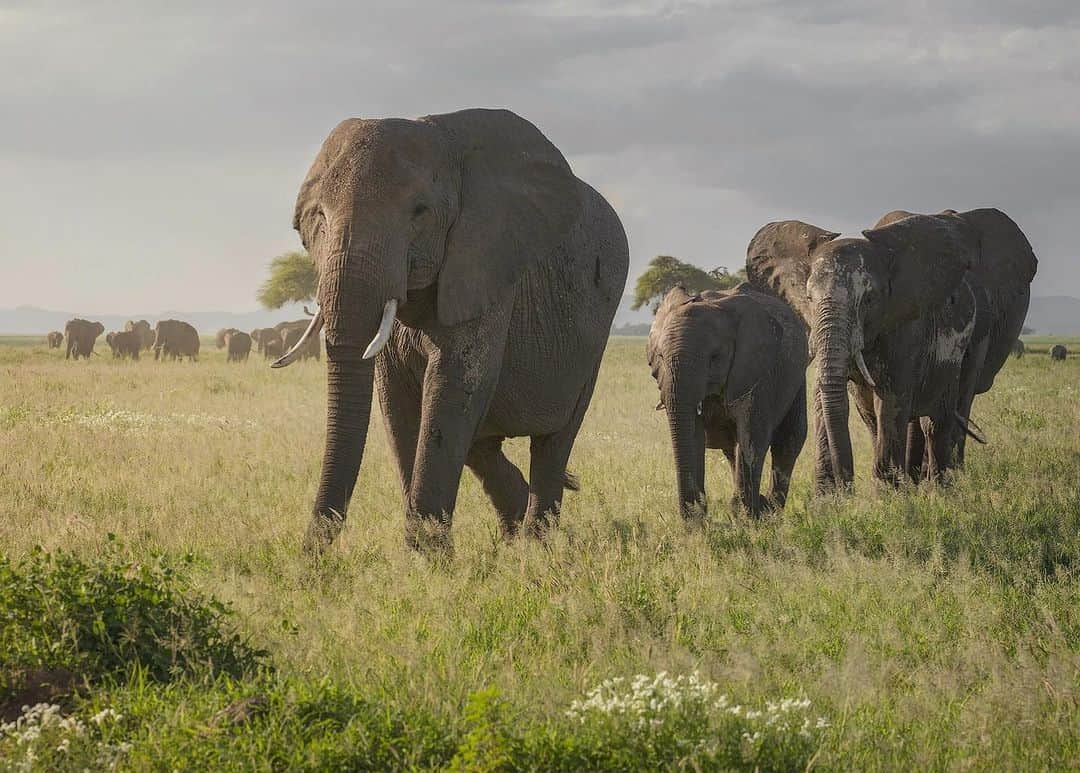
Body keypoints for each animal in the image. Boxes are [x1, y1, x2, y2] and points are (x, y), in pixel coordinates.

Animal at [274, 110, 630, 557]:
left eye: (420, 211)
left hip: (594, 332)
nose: (310, 557)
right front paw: (426, 553)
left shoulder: (486, 262)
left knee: (553, 441)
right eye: (318, 217)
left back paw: (536, 547)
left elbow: (452, 382)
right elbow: (395, 399)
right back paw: (513, 533)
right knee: (482, 442)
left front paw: (426, 556)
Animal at [643, 282, 807, 520]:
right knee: (732, 448)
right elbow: (693, 436)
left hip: (797, 375)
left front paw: (748, 519)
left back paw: (770, 512)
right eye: (661, 357)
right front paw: (698, 520)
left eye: (715, 357)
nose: (694, 515)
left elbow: (752, 436)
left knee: (789, 439)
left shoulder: (758, 371)